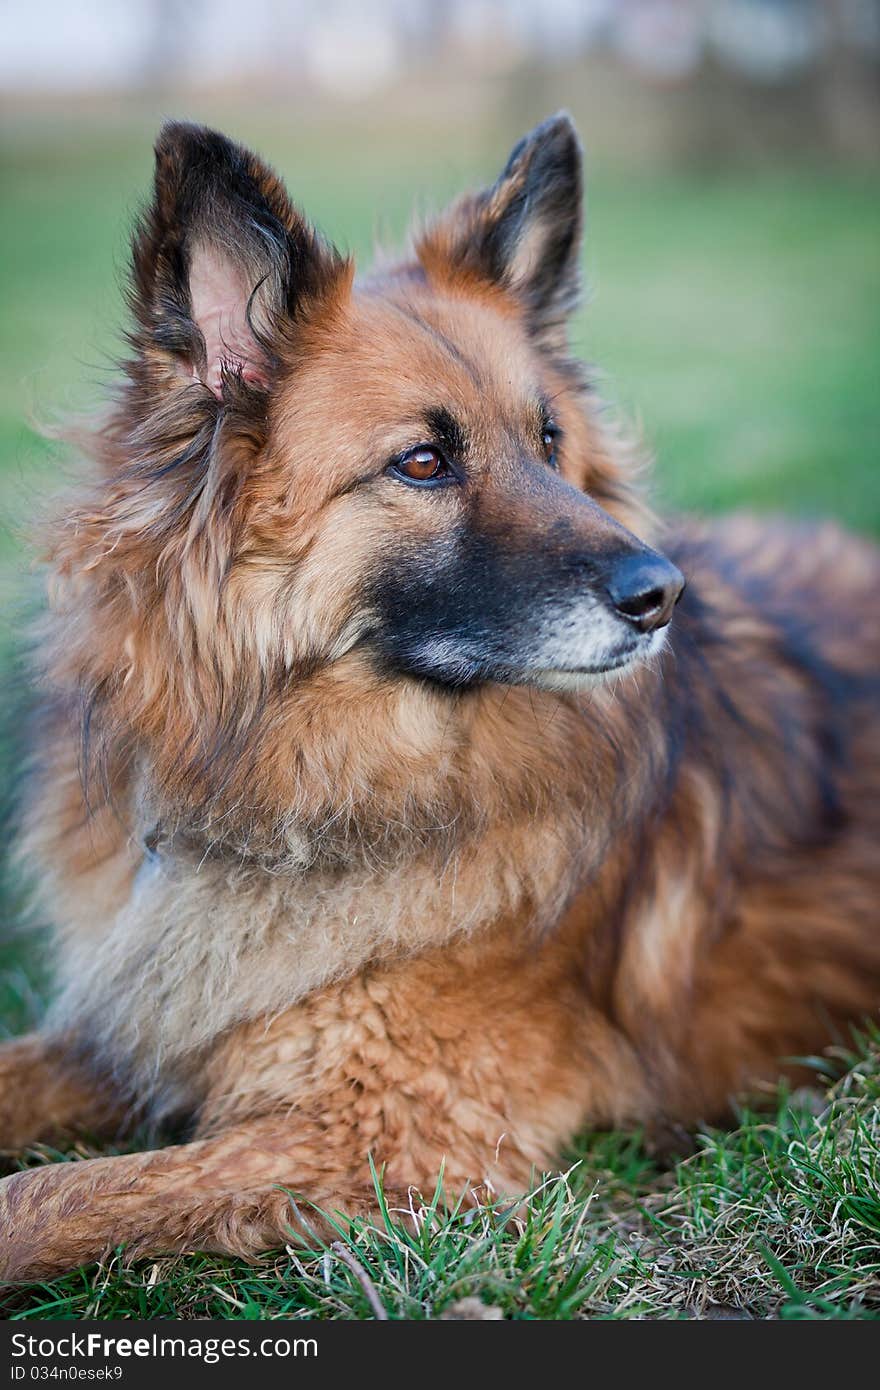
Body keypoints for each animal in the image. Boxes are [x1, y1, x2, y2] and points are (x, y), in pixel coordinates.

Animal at [1, 116, 878, 1278]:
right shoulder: (144, 1029)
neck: (290, 776)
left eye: (549, 441)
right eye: (421, 462)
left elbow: (47, 1196)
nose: (665, 595)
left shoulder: (385, 1132)